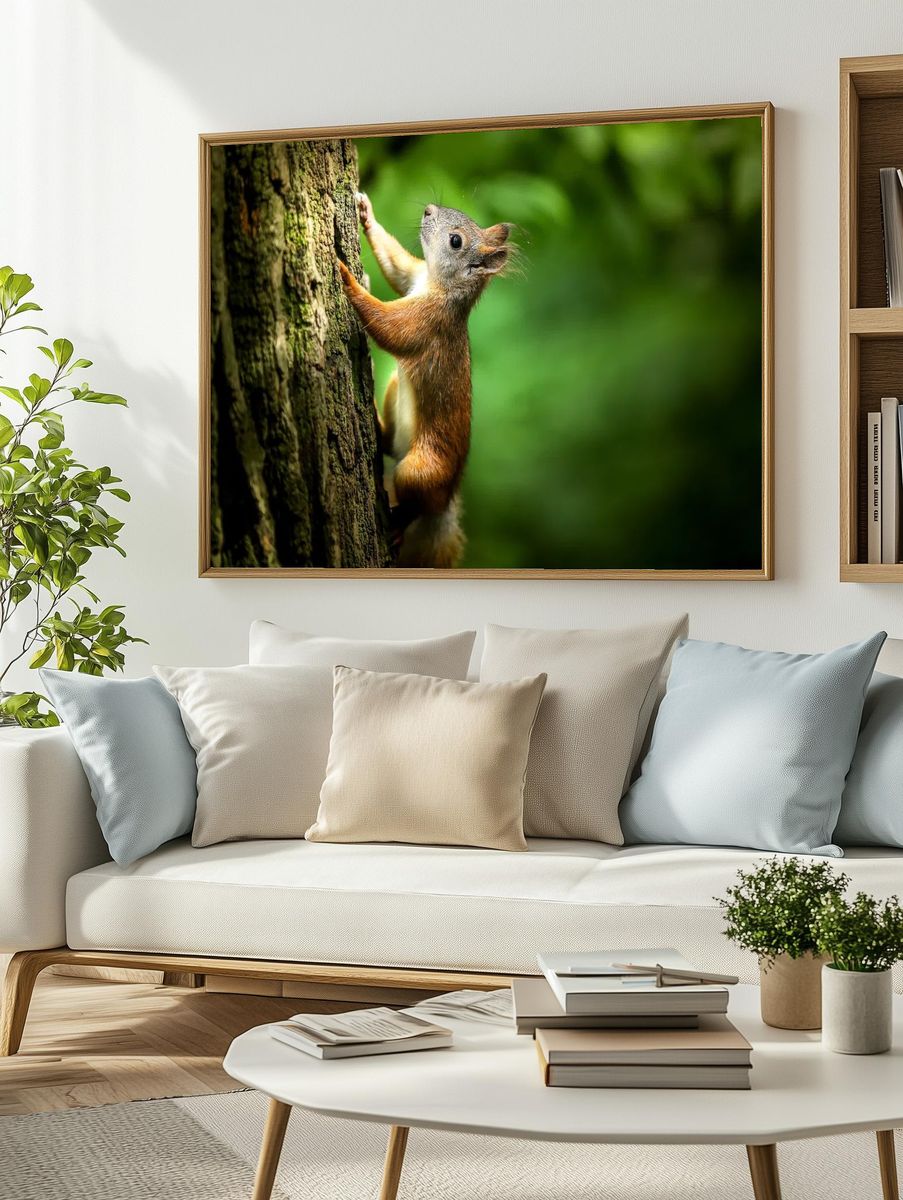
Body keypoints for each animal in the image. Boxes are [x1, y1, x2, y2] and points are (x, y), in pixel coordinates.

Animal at [337, 194, 512, 568]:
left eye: (456, 241)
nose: (429, 209)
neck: (436, 284)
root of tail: (445, 501)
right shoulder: (414, 276)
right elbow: (397, 267)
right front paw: (366, 214)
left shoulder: (428, 322)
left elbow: (387, 327)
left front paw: (347, 280)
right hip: (393, 392)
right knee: (390, 444)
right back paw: (377, 427)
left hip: (420, 471)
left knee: (416, 504)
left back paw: (399, 524)